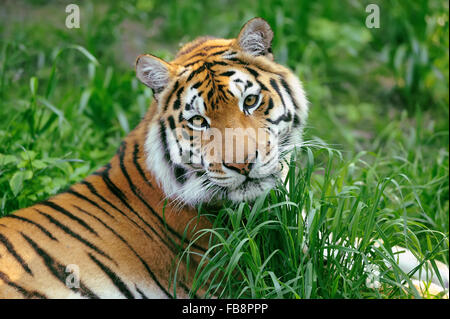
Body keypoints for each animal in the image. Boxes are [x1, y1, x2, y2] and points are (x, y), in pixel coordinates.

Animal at [0, 17, 446, 298]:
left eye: (249, 101)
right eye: (198, 120)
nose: (243, 164)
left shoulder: (303, 227)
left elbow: (383, 250)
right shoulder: (264, 268)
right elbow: (372, 273)